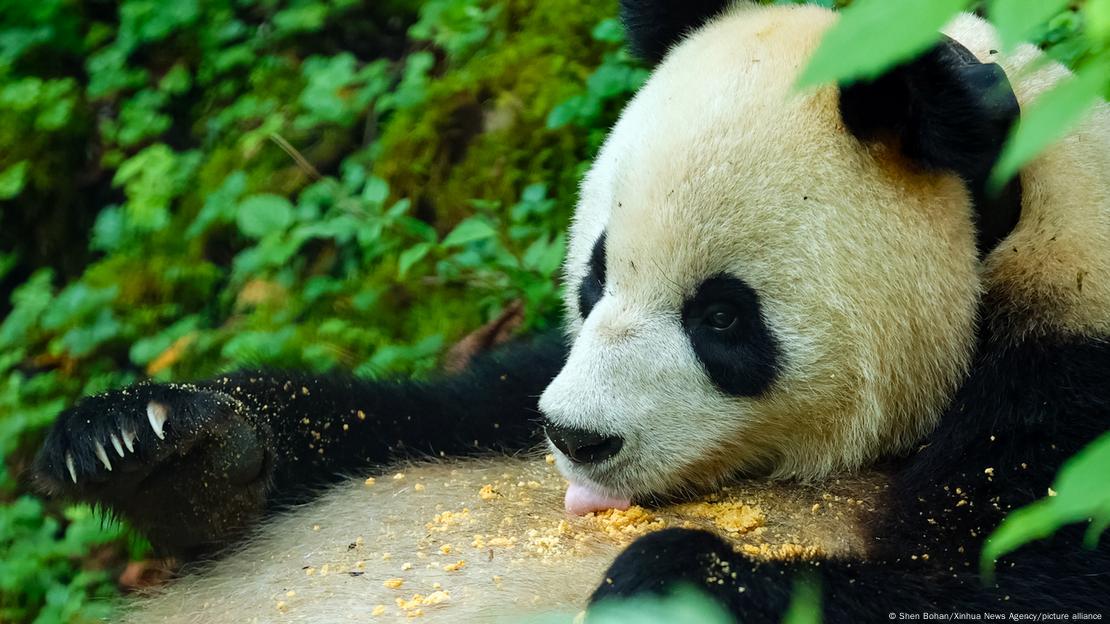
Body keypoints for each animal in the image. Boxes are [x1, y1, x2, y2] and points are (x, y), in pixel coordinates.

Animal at [30, 0, 1105, 617]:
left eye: (722, 318)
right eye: (595, 278)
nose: (575, 439)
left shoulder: (1070, 378)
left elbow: (1011, 581)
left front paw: (674, 578)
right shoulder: (515, 385)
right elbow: (417, 412)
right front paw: (151, 444)